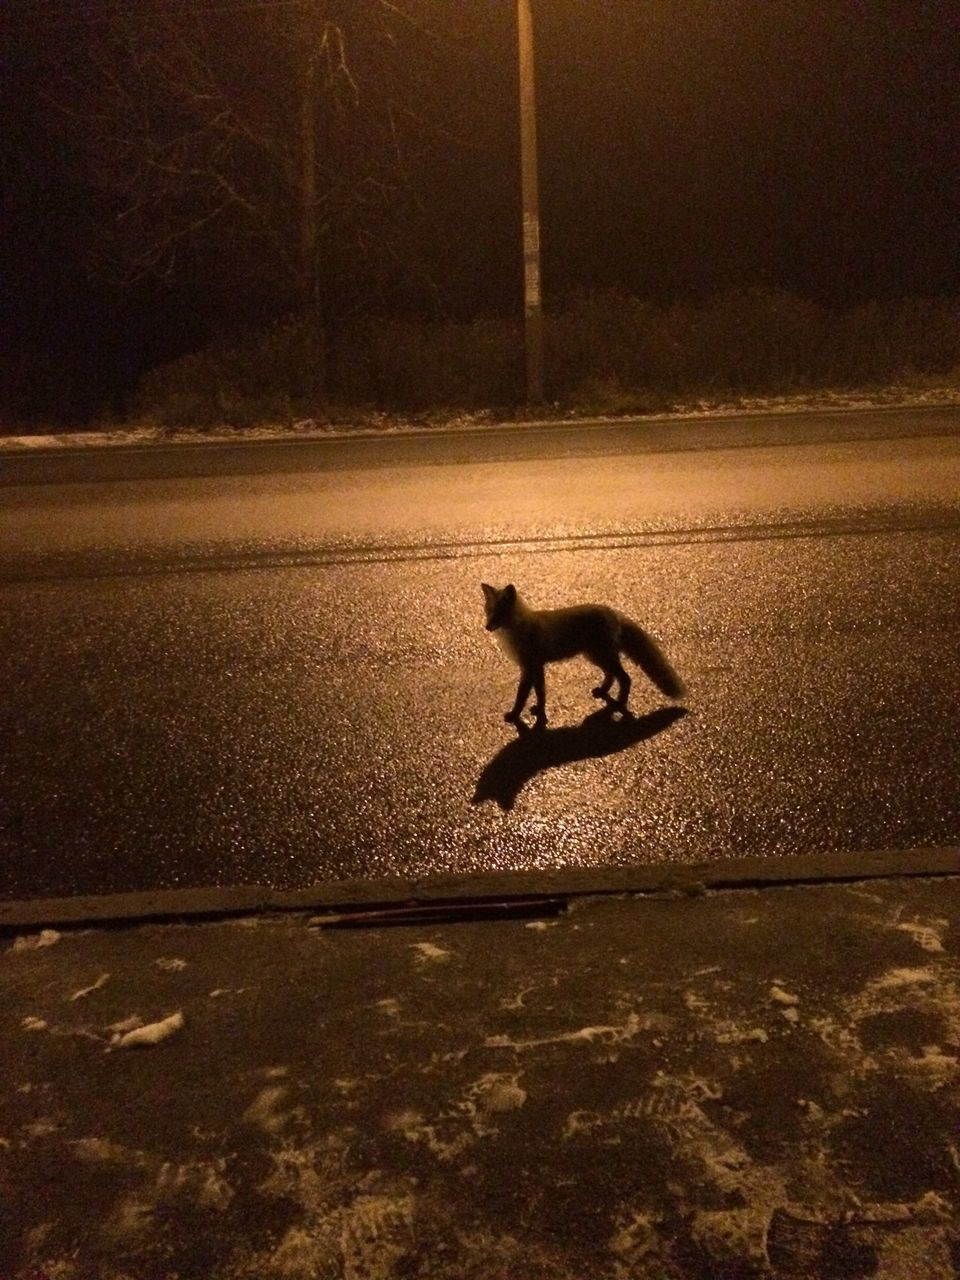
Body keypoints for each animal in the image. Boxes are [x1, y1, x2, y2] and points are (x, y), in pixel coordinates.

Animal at [481, 583, 686, 732]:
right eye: (488, 611)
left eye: (499, 614)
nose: (487, 627)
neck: (517, 631)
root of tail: (611, 611)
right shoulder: (536, 667)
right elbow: (540, 693)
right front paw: (539, 711)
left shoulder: (530, 667)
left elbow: (521, 696)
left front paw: (515, 715)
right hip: (595, 656)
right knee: (612, 675)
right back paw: (603, 691)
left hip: (601, 655)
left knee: (625, 678)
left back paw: (619, 704)